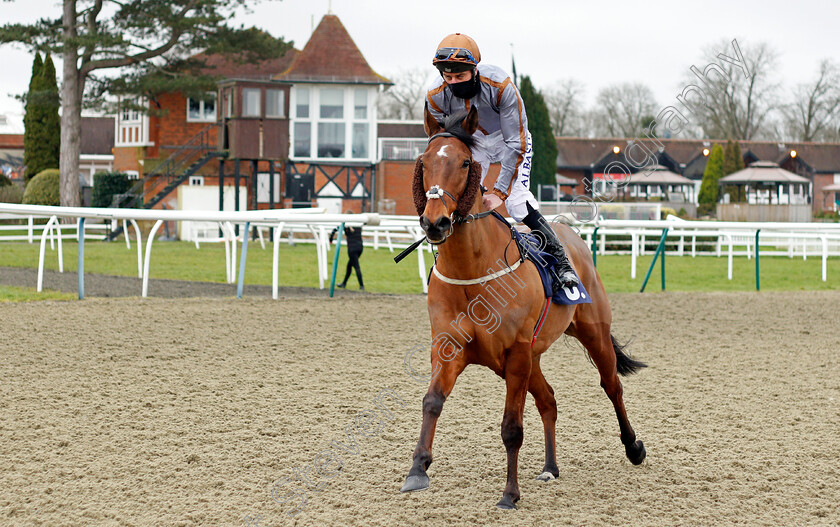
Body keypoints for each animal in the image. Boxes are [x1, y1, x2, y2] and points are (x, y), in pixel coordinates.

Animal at [400, 105, 648, 510]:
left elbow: (512, 428)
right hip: (532, 357)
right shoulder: (450, 347)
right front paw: (417, 469)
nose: (435, 222)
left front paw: (509, 493)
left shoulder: (516, 353)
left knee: (612, 386)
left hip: (590, 334)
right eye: (424, 161)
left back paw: (633, 447)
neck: (473, 271)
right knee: (549, 400)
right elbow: (432, 401)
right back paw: (550, 467)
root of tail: (571, 236)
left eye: (465, 162)